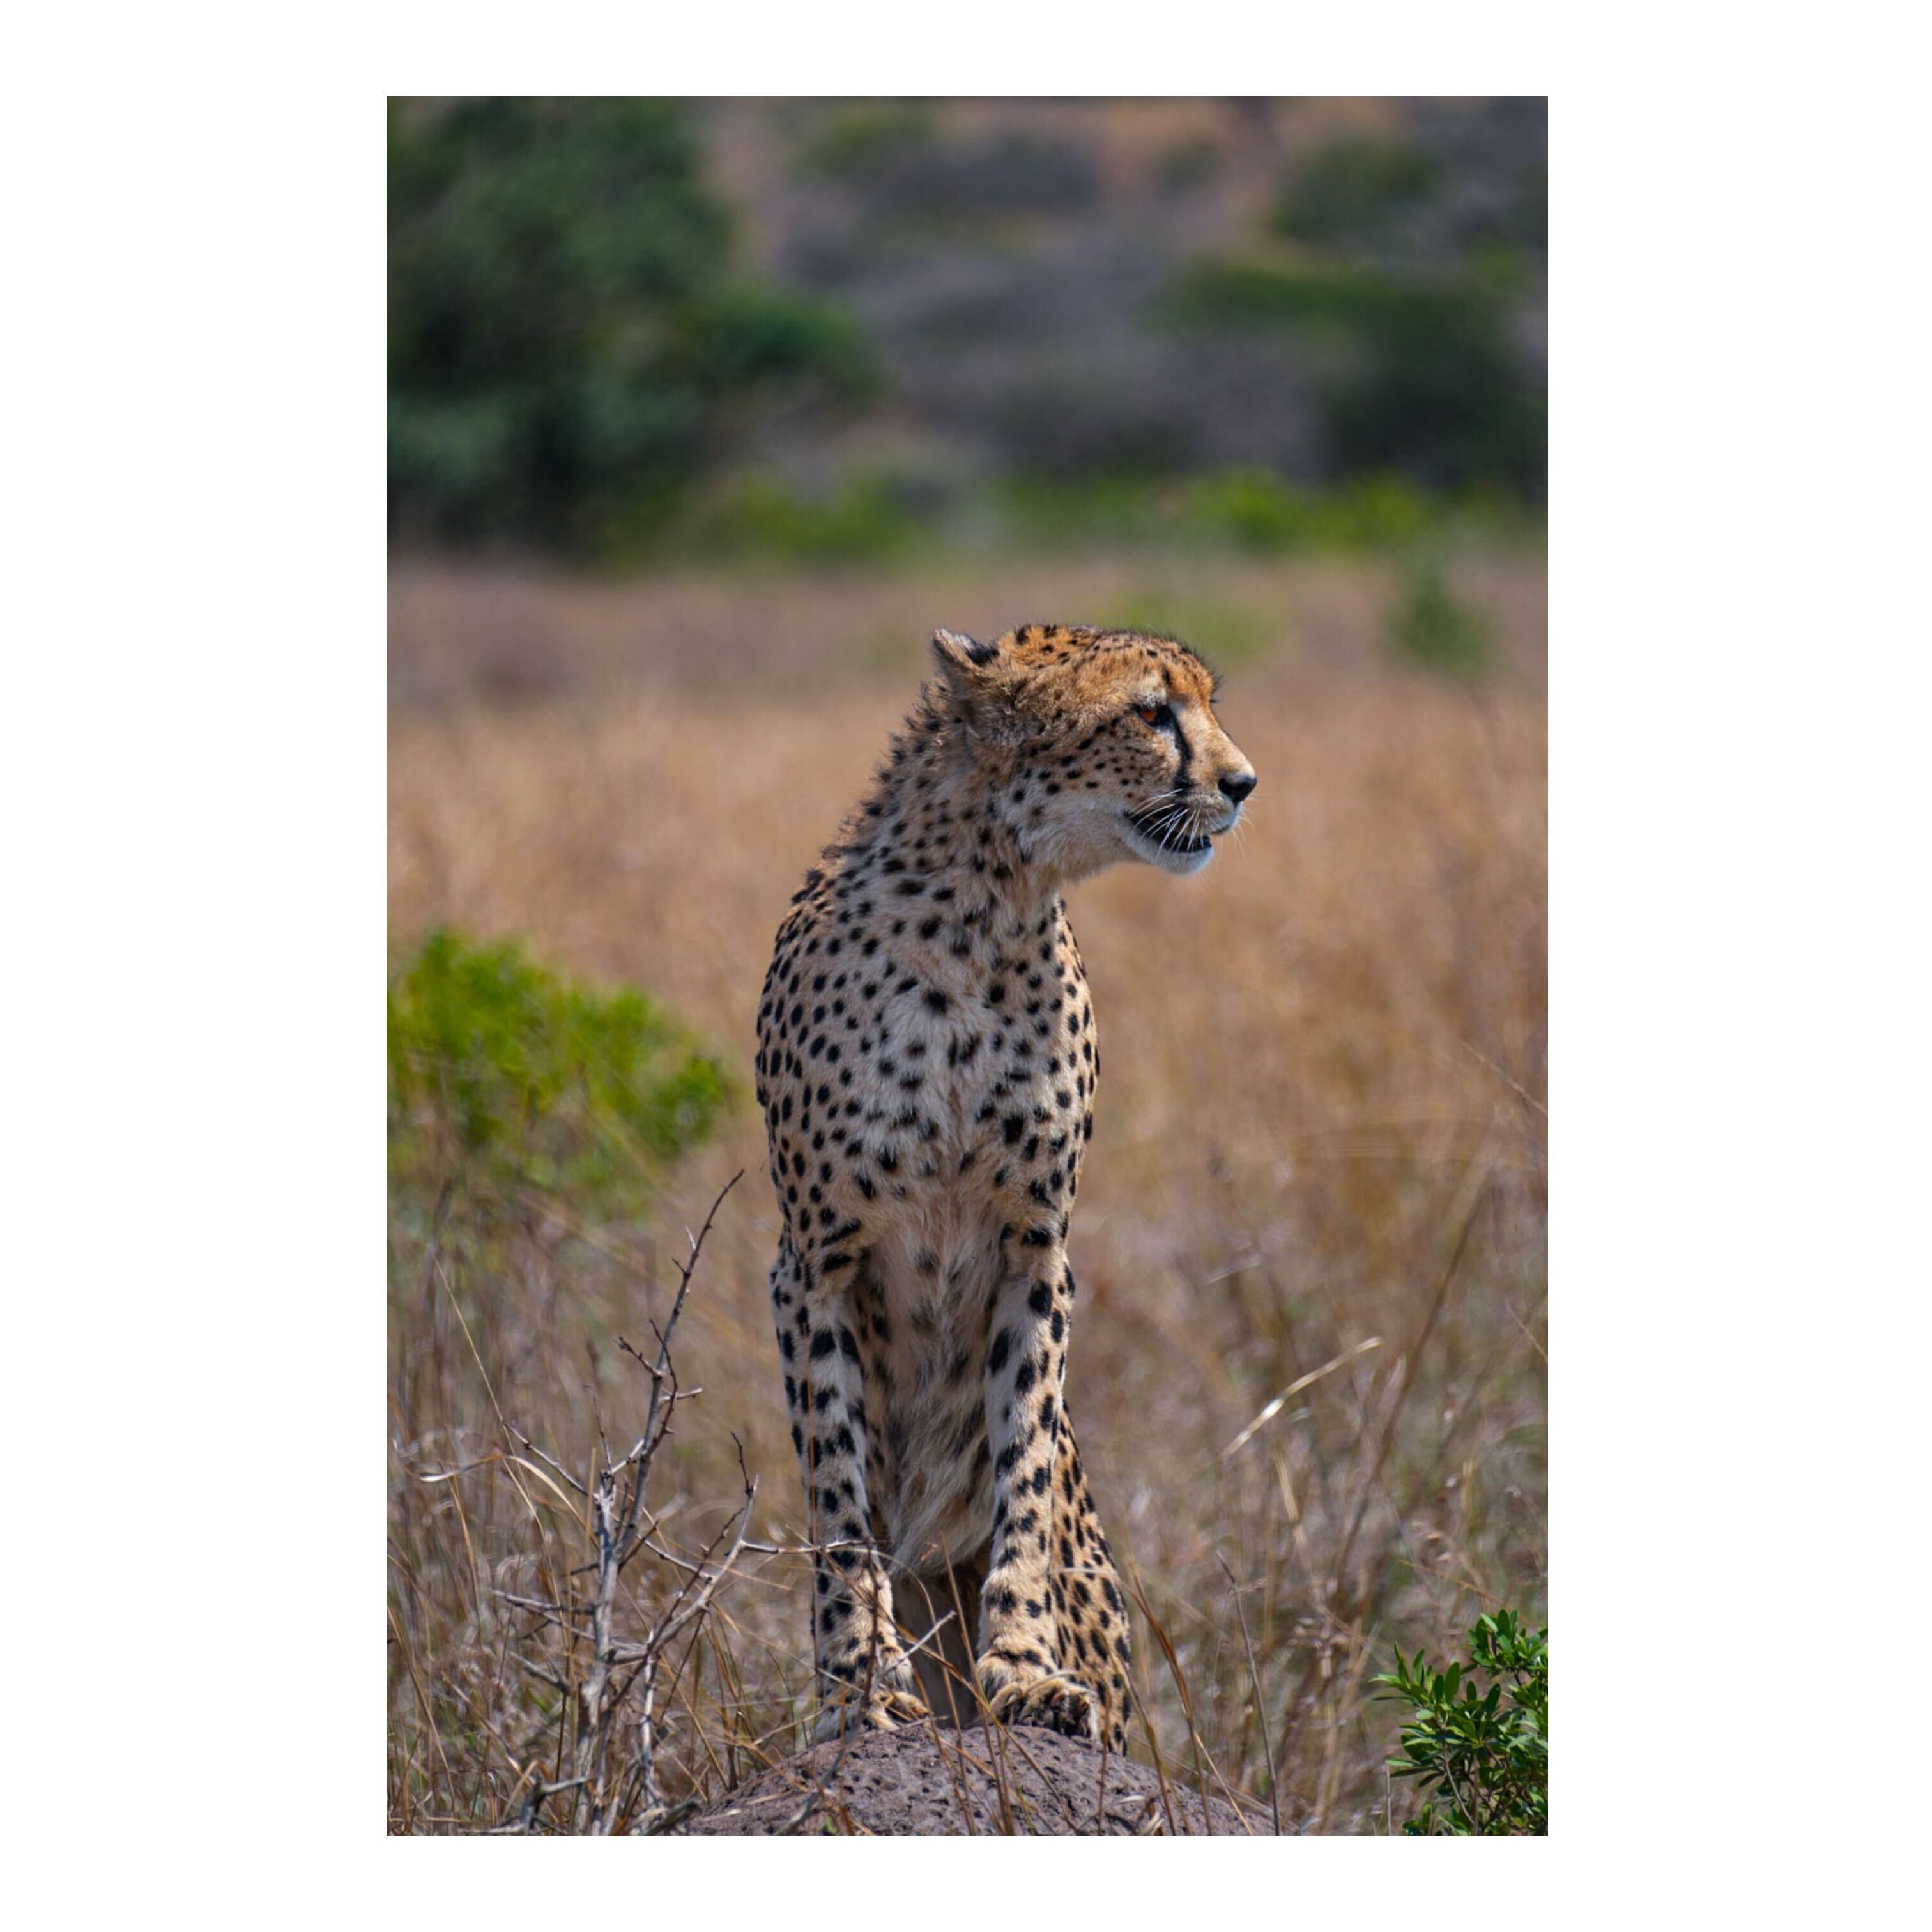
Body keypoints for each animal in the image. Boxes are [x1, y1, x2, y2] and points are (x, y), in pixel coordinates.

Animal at [754, 622, 1257, 1752]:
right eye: (1151, 713)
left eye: (1207, 703)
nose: (1244, 782)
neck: (984, 911)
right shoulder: (813, 1262)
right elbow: (838, 1493)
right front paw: (859, 1684)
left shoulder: (1036, 1251)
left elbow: (1023, 1460)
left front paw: (1025, 1671)